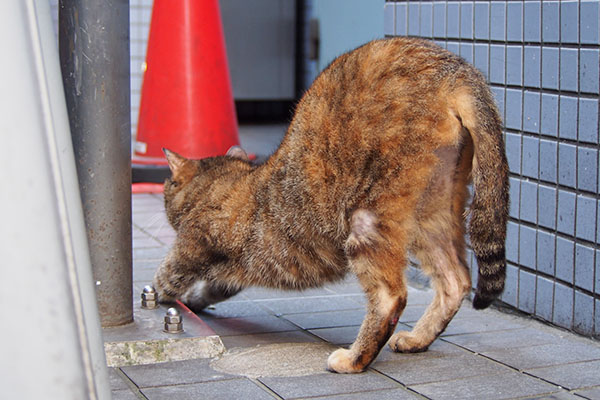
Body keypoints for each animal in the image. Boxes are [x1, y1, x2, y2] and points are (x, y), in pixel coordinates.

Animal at [152, 36, 508, 374]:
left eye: (167, 184)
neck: (223, 181)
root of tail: (453, 70)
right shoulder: (229, 273)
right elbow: (211, 287)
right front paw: (195, 302)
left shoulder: (191, 247)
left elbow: (167, 276)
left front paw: (156, 299)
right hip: (432, 215)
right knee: (455, 280)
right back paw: (417, 339)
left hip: (368, 218)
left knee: (390, 297)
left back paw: (353, 359)